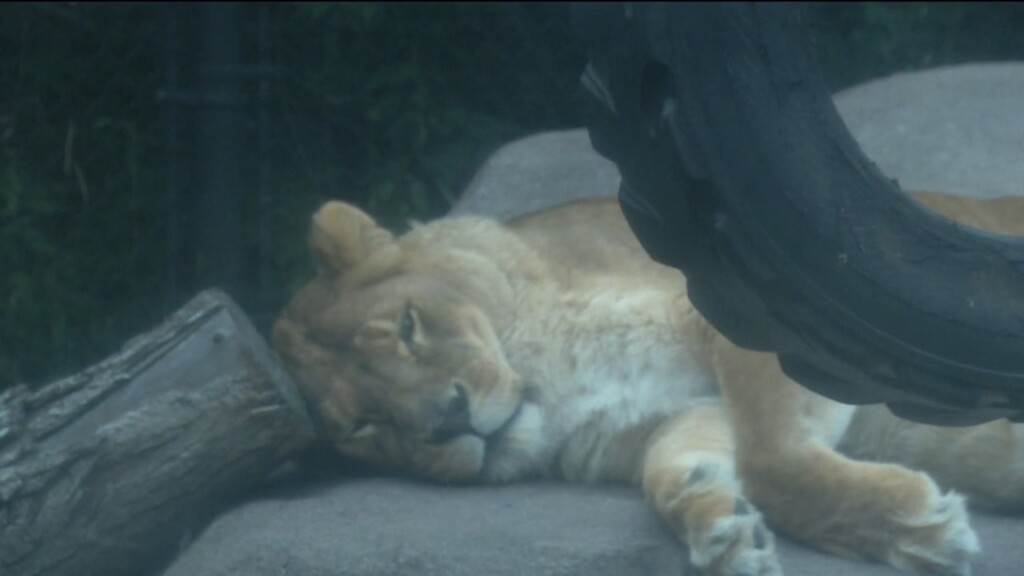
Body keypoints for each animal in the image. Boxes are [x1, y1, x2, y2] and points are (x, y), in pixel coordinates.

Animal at [273, 190, 1024, 576]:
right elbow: (677, 467)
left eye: (407, 325)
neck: (550, 376)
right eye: (364, 426)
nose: (448, 422)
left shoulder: (763, 310)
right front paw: (717, 523)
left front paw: (919, 527)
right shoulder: (673, 413)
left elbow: (774, 460)